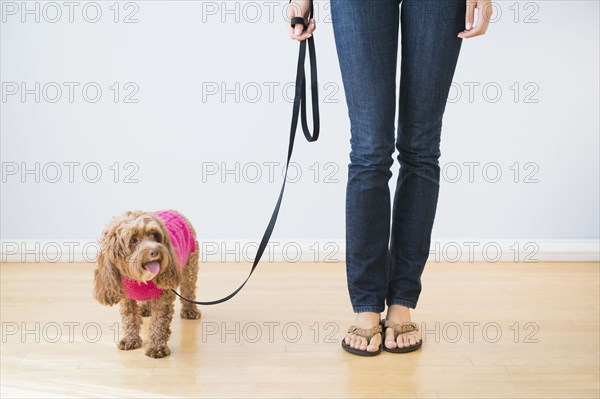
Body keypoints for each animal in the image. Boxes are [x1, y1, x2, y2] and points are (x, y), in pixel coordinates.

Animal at [94, 211, 200, 358]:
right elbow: (129, 317)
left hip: (190, 266)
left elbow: (159, 321)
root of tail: (175, 211)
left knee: (188, 289)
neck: (139, 280)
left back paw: (190, 310)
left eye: (155, 236)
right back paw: (146, 308)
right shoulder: (126, 297)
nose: (155, 251)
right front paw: (130, 339)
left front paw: (157, 347)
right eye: (133, 240)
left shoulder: (163, 296)